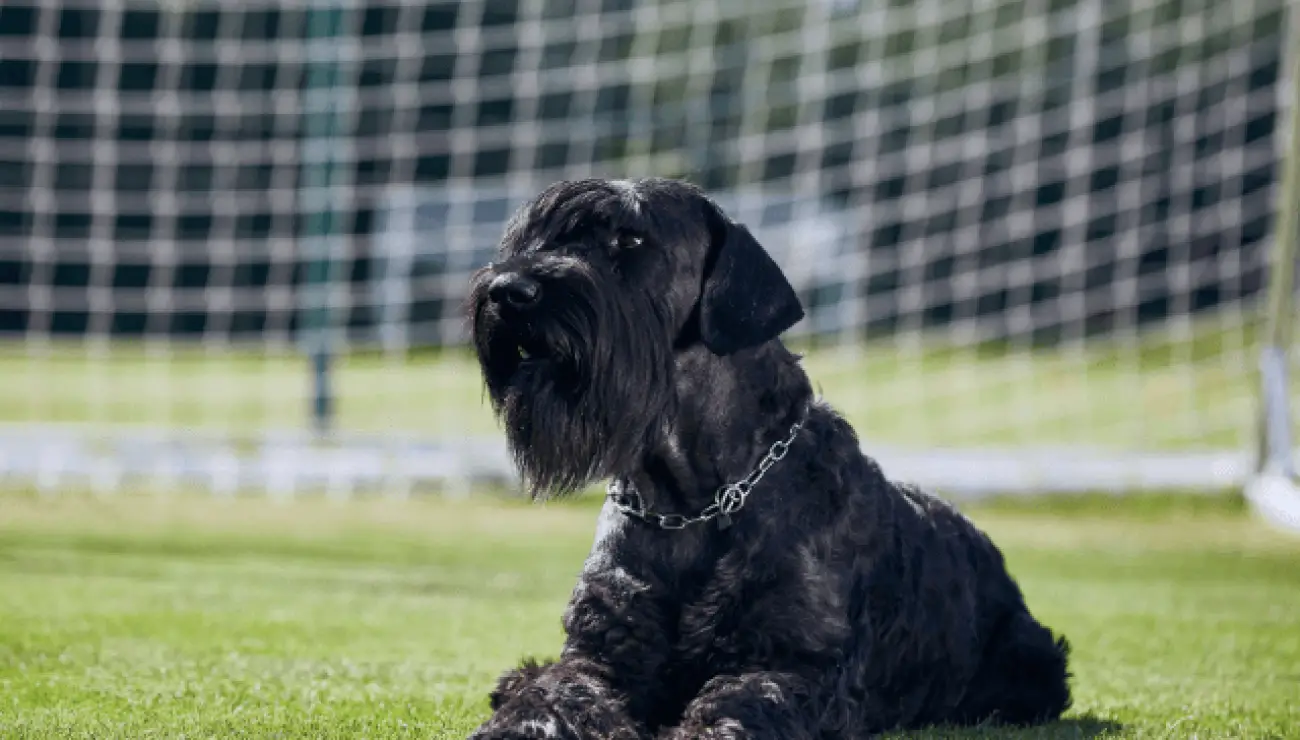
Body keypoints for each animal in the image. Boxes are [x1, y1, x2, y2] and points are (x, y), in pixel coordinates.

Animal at [465, 175, 1066, 733]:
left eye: (630, 238)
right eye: (537, 235)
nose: (507, 290)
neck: (689, 500)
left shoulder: (791, 663)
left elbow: (737, 703)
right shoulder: (602, 652)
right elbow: (557, 691)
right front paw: (520, 719)